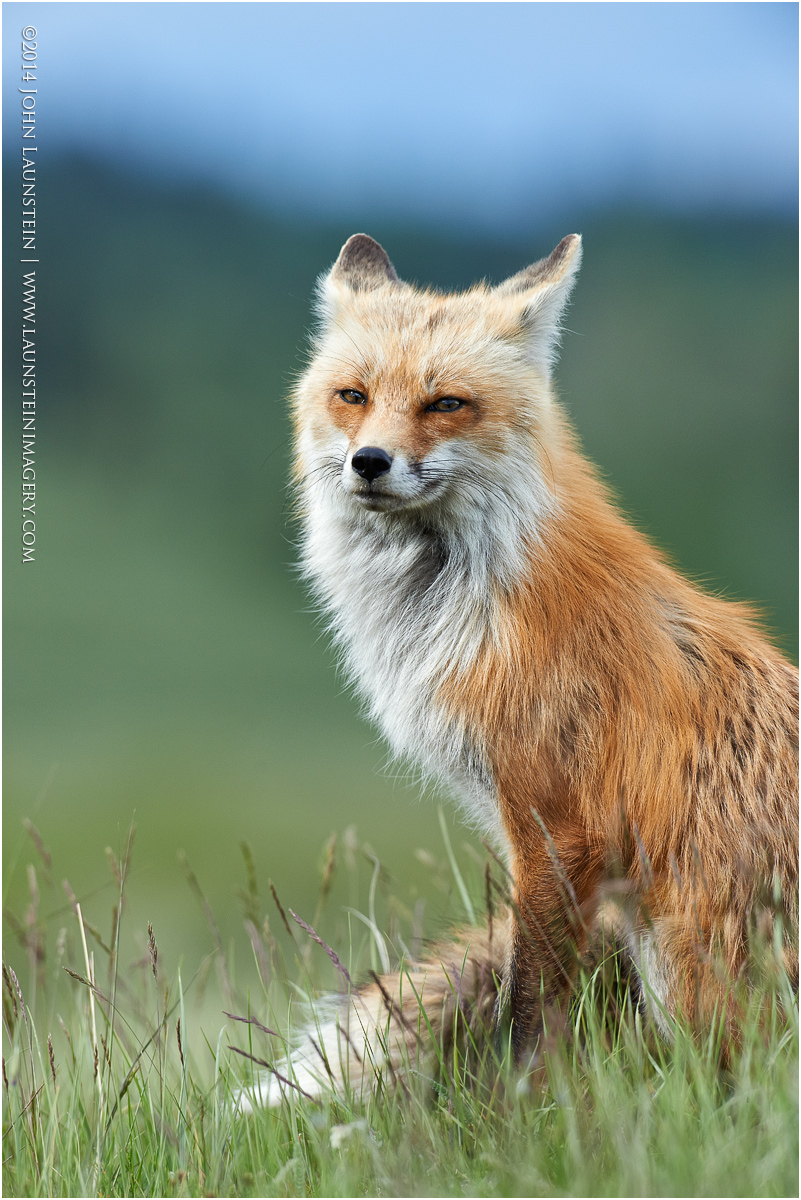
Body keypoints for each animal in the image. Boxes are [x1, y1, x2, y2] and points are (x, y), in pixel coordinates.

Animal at [245, 232, 798, 1108]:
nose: (369, 462)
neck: (465, 606)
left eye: (445, 404)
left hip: (680, 957)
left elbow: (531, 1005)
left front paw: (523, 1114)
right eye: (353, 396)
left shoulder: (555, 825)